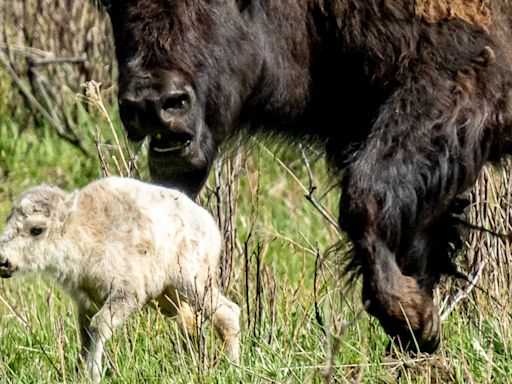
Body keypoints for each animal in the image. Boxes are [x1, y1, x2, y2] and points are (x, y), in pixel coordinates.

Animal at [0, 176, 241, 380]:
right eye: (8, 219)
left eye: (37, 229)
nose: (4, 260)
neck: (83, 230)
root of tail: (210, 224)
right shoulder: (86, 302)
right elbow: (85, 335)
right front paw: (78, 373)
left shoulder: (127, 292)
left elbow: (98, 326)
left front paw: (93, 375)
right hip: (168, 296)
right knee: (190, 322)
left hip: (192, 282)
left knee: (227, 312)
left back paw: (232, 367)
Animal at [102, 0, 512, 352]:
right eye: (111, 2)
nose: (153, 103)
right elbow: (413, 236)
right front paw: (418, 328)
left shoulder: (450, 83)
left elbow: (364, 197)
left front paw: (411, 317)